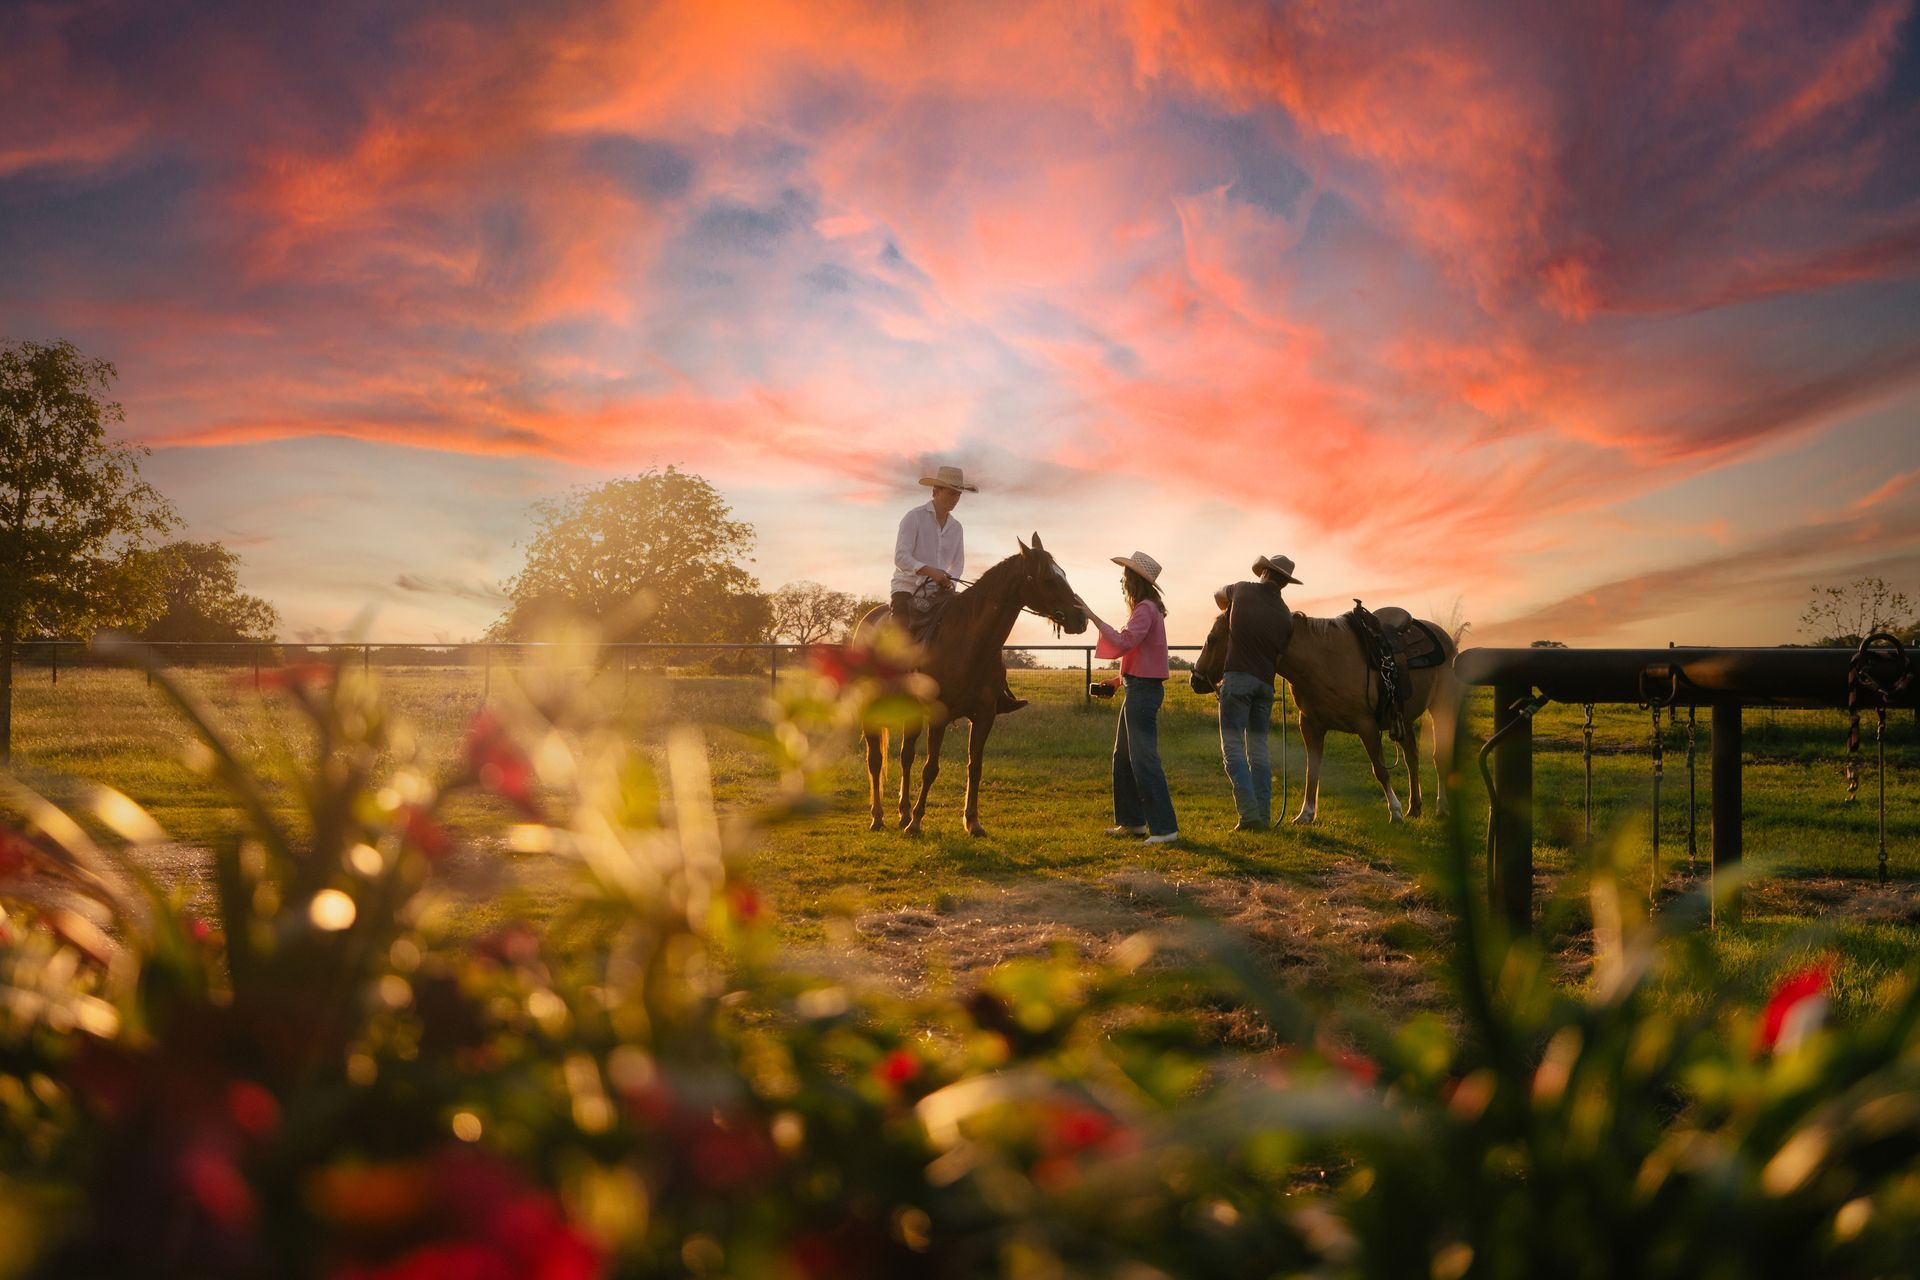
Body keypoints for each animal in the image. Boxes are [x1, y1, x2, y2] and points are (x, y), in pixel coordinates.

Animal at [852, 534, 1088, 837]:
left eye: (1063, 575)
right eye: (1048, 579)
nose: (1081, 619)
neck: (969, 642)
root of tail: (866, 623)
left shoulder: (984, 715)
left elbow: (974, 767)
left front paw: (972, 821)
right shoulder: (939, 716)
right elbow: (931, 768)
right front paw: (917, 822)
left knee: (906, 755)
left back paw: (902, 813)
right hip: (872, 708)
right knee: (875, 760)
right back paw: (878, 817)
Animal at [1194, 601, 1461, 824]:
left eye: (1213, 638)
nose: (1195, 679)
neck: (1322, 658)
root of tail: (1446, 637)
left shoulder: (1367, 725)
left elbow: (1380, 770)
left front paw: (1394, 811)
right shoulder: (1311, 725)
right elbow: (1312, 770)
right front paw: (1306, 814)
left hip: (1442, 708)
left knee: (1438, 756)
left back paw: (1440, 807)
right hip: (1403, 719)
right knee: (1412, 757)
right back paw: (1414, 808)